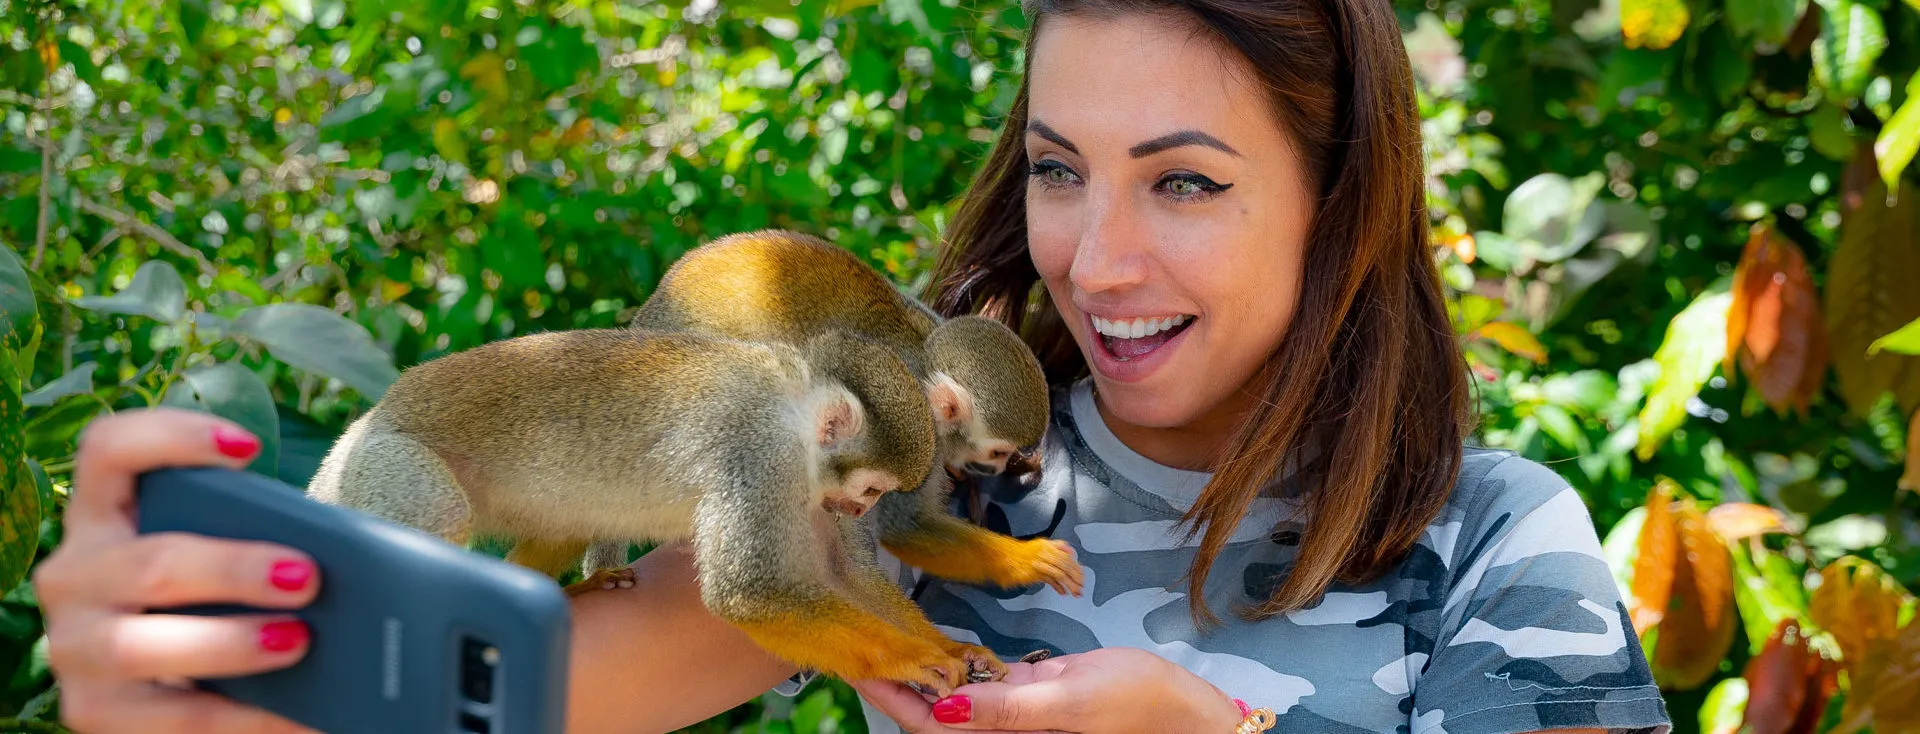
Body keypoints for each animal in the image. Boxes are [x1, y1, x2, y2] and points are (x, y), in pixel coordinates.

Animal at [304, 327, 984, 696]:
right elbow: (751, 592)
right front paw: (917, 659)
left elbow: (847, 576)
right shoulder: (758, 454)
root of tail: (359, 430)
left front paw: (957, 652)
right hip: (384, 466)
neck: (795, 412)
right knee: (438, 512)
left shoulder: (804, 480)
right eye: (872, 491)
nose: (855, 506)